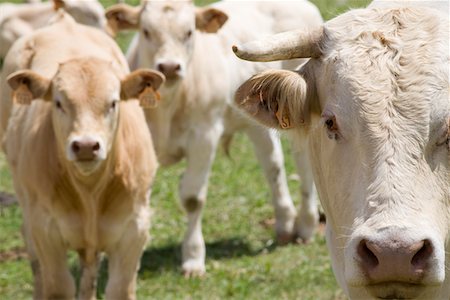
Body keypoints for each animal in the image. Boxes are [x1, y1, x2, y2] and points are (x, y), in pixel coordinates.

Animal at [0, 10, 163, 298]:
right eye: (58, 102)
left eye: (113, 102)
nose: (86, 145)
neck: (90, 192)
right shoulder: (46, 230)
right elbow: (58, 287)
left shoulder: (134, 230)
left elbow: (119, 289)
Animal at [105, 0, 324, 276]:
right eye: (146, 32)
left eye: (189, 32)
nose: (169, 67)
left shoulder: (204, 136)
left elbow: (192, 198)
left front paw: (193, 258)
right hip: (257, 120)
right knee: (272, 164)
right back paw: (284, 223)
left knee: (303, 164)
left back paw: (305, 225)